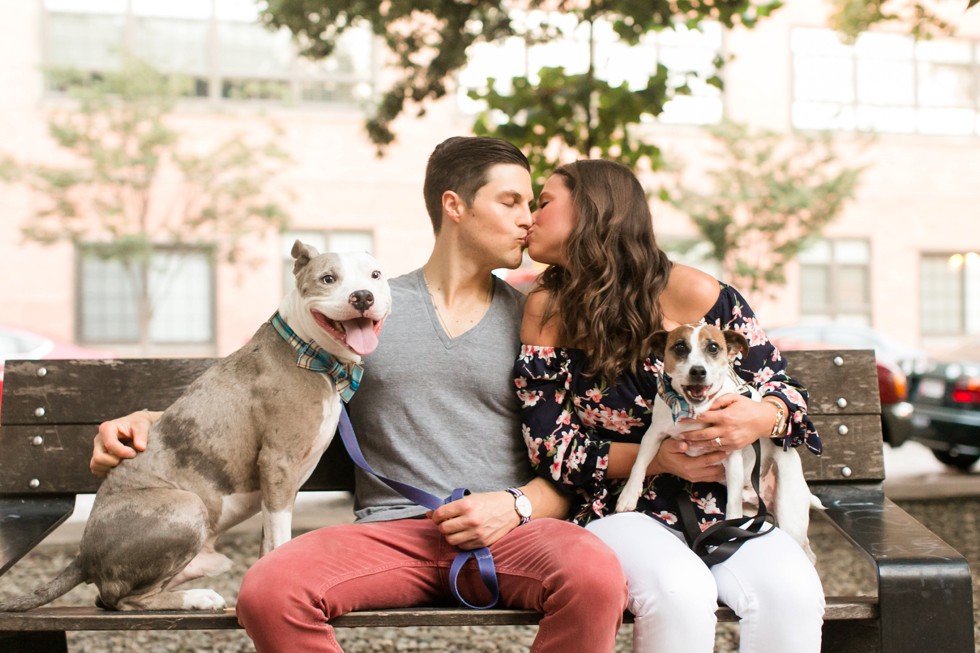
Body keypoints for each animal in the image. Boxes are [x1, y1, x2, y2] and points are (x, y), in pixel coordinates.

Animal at [0, 241, 390, 612]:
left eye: (375, 275)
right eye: (328, 278)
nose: (362, 296)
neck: (309, 354)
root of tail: (82, 554)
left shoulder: (278, 484)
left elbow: (268, 540)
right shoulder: (278, 463)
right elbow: (280, 536)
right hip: (187, 505)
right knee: (121, 598)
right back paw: (196, 598)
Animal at [620, 324, 820, 564]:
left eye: (713, 347)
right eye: (680, 347)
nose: (698, 371)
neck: (695, 411)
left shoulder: (731, 459)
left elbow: (731, 509)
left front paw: (728, 535)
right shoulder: (653, 435)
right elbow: (638, 464)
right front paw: (628, 495)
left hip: (790, 514)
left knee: (807, 550)